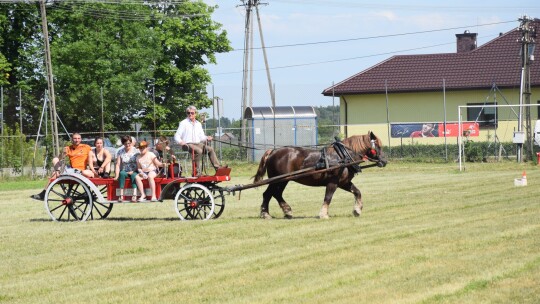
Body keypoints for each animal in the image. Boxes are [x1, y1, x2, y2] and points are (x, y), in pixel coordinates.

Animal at [254, 132, 388, 220]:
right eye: (378, 146)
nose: (385, 161)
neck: (343, 157)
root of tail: (273, 151)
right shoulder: (333, 182)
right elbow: (328, 197)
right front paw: (323, 214)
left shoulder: (344, 182)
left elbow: (357, 192)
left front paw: (357, 210)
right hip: (279, 180)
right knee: (269, 194)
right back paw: (268, 213)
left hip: (283, 180)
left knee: (274, 194)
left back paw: (285, 212)